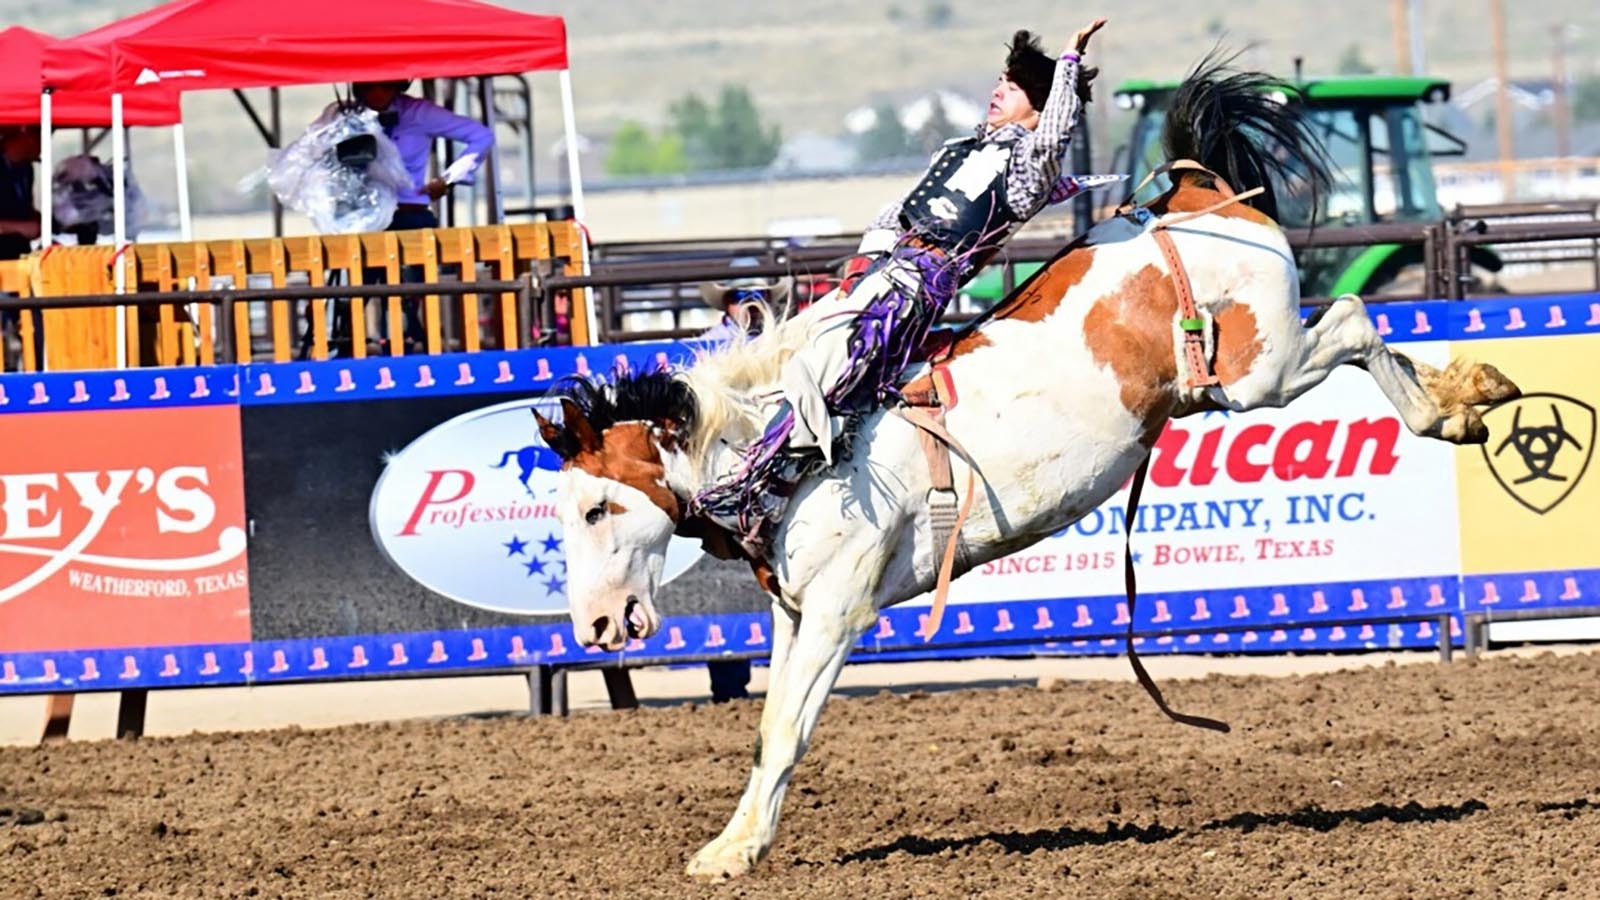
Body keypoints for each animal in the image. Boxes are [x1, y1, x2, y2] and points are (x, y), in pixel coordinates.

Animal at [531, 63, 1516, 877]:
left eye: (594, 510)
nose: (596, 625)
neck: (791, 446)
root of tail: (1198, 193)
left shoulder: (841, 608)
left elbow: (784, 727)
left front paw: (732, 854)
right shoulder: (797, 611)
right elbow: (774, 725)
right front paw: (736, 841)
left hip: (1260, 369)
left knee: (1352, 315)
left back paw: (1458, 402)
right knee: (1358, 326)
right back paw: (1469, 396)